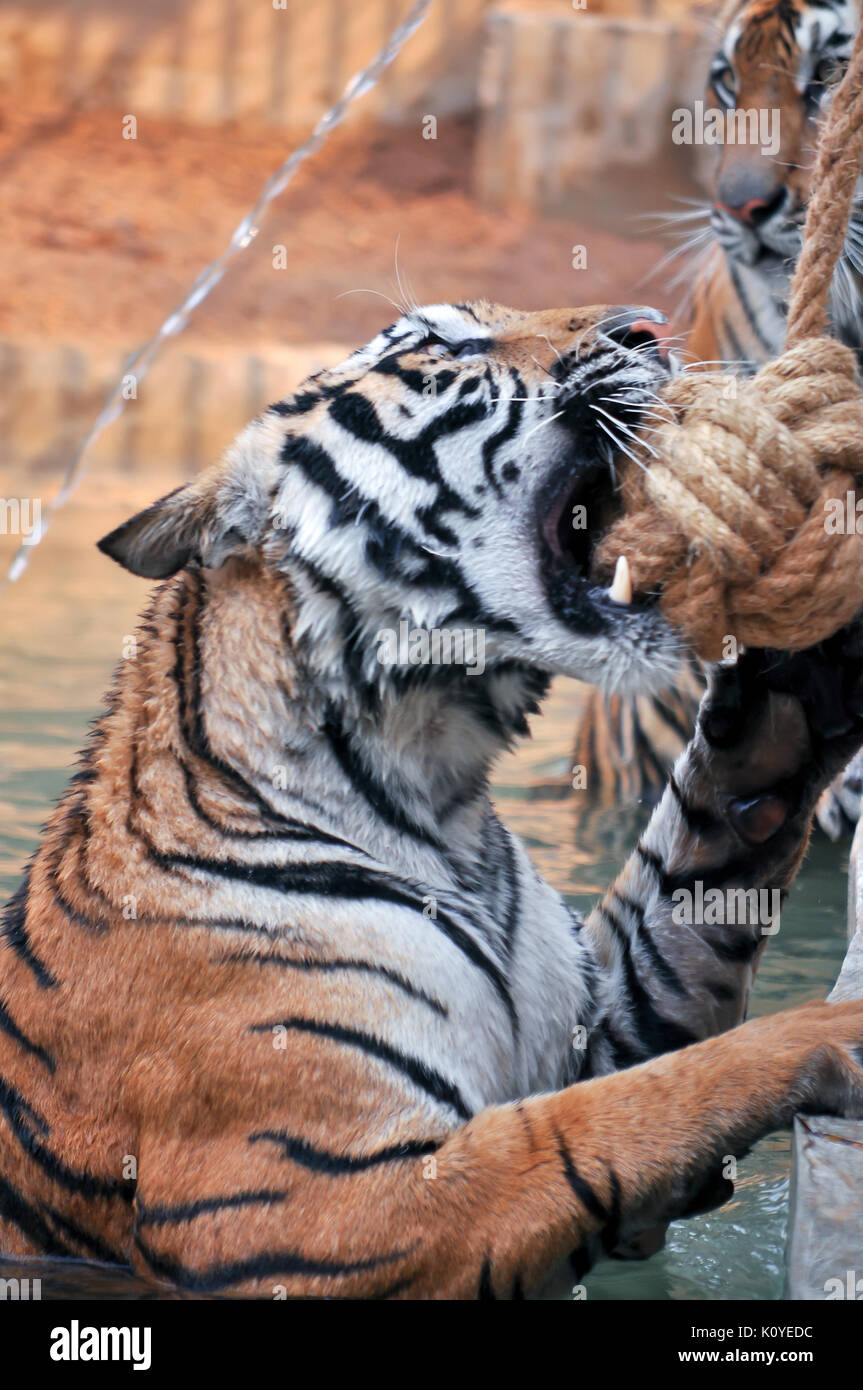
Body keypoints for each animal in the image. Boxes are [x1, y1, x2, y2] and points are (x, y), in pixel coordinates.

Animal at [4, 298, 863, 1300]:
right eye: (441, 345)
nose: (647, 325)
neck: (437, 792)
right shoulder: (336, 1210)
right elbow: (632, 1107)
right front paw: (836, 1031)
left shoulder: (596, 1028)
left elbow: (692, 894)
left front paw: (803, 670)